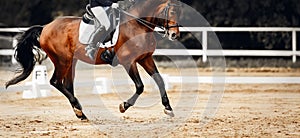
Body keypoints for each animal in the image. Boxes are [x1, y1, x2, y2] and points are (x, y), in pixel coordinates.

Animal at [5, 0, 182, 121]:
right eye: (172, 11)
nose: (174, 35)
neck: (137, 25)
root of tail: (45, 27)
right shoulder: (128, 61)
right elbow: (140, 86)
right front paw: (123, 106)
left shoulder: (145, 58)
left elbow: (160, 80)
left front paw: (168, 108)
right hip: (63, 61)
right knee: (55, 82)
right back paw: (78, 108)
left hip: (71, 62)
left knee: (67, 85)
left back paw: (80, 113)